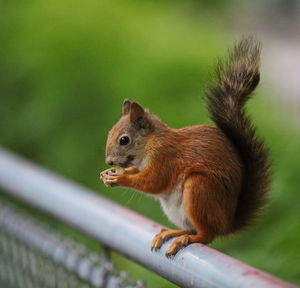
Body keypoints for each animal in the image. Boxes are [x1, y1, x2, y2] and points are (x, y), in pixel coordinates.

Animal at [100, 36, 272, 256]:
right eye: (110, 133)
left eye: (124, 140)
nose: (109, 161)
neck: (149, 144)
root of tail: (227, 224)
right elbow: (138, 172)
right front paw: (108, 174)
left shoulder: (166, 156)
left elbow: (154, 181)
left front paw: (120, 177)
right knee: (192, 228)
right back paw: (172, 233)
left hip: (200, 188)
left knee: (206, 235)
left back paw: (186, 239)